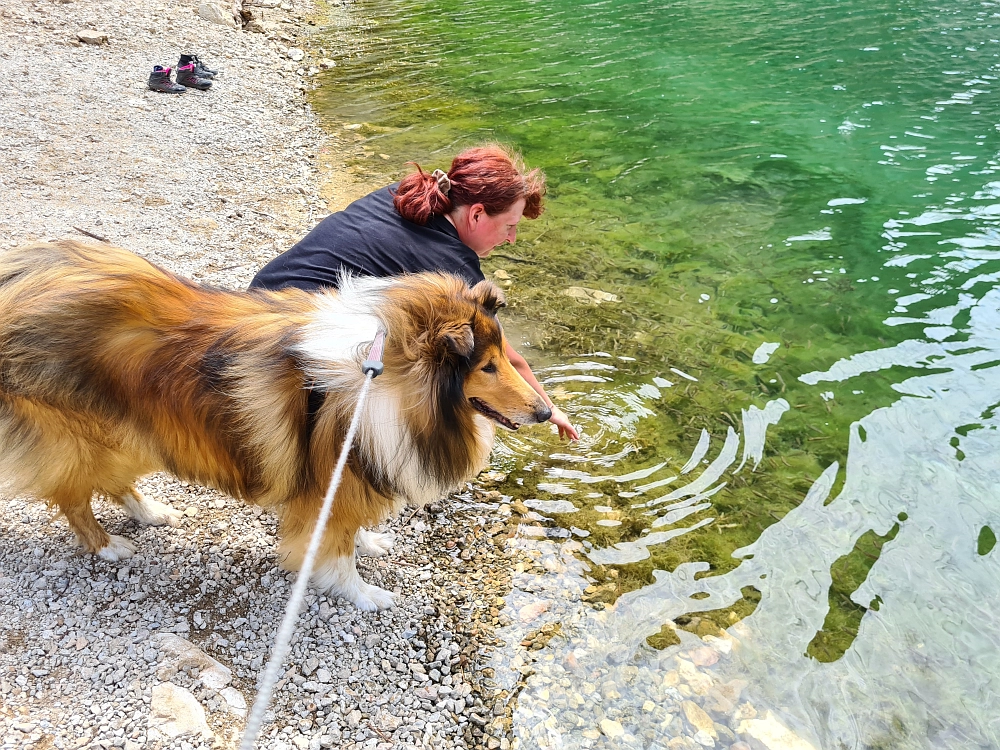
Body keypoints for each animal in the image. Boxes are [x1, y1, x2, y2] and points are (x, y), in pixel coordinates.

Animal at [0, 241, 552, 612]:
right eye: (487, 366)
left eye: (504, 357)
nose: (546, 412)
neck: (384, 378)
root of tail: (23, 276)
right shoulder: (330, 480)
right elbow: (334, 549)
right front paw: (364, 593)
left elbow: (349, 530)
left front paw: (369, 542)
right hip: (81, 435)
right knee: (72, 495)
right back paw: (108, 545)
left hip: (135, 432)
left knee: (112, 483)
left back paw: (152, 512)